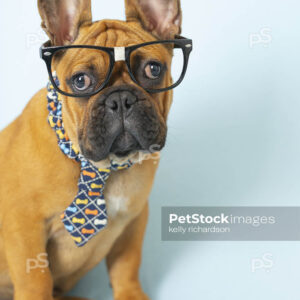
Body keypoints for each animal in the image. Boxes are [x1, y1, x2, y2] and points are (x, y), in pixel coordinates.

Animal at [0, 0, 192, 298]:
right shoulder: (24, 228)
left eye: (153, 69)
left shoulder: (134, 219)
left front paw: (131, 294)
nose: (121, 99)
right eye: (80, 81)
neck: (100, 167)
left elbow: (127, 263)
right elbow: (36, 278)